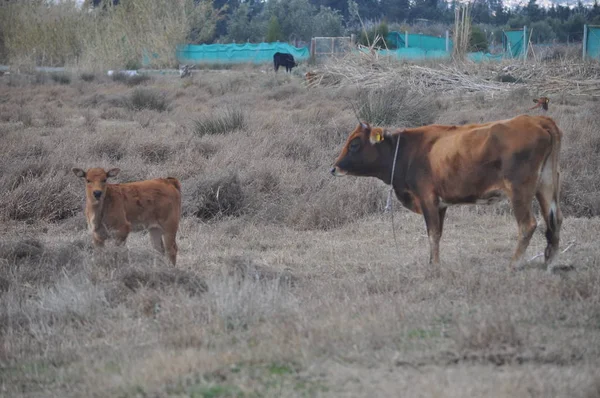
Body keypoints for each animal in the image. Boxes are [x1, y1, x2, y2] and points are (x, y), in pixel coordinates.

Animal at [332, 115, 564, 270]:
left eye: (354, 144)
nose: (334, 168)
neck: (407, 151)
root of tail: (536, 120)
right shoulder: (441, 204)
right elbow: (438, 234)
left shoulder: (428, 199)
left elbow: (432, 234)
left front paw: (434, 266)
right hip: (546, 186)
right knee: (555, 220)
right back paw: (550, 262)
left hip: (519, 191)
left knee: (527, 225)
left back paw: (514, 264)